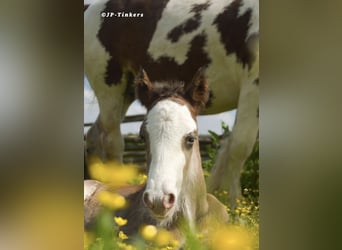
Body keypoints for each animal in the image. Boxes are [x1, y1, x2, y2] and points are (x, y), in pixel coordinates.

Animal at [85, 0, 260, 206]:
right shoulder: (253, 84)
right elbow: (239, 146)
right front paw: (233, 204)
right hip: (110, 86)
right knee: (112, 140)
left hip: (127, 92)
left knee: (94, 135)